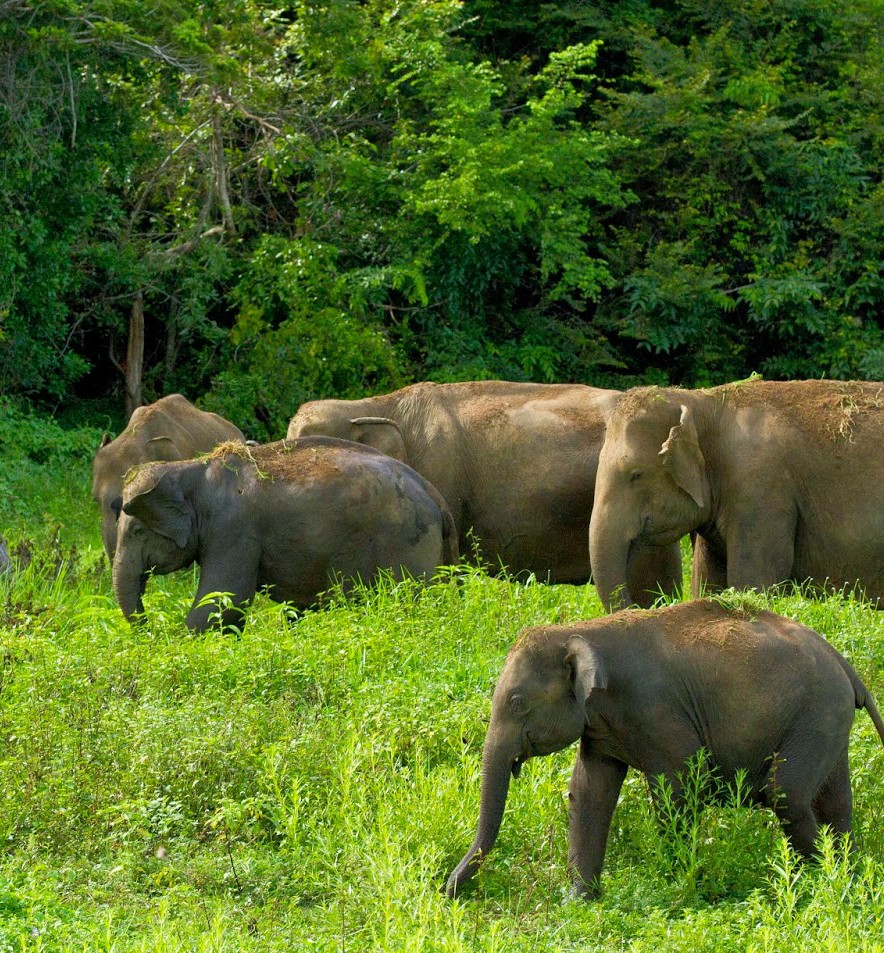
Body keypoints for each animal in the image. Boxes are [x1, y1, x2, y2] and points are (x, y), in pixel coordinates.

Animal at [112, 434, 456, 628]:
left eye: (138, 531)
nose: (152, 630)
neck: (191, 468)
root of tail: (438, 500)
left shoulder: (233, 530)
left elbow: (225, 601)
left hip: (407, 544)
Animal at [448, 604, 884, 900]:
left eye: (517, 702)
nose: (447, 889)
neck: (578, 631)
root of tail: (843, 662)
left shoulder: (658, 711)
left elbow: (677, 788)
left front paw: (681, 887)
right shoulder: (598, 726)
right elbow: (590, 793)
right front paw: (580, 901)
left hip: (816, 712)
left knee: (785, 793)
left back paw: (820, 880)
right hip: (828, 720)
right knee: (834, 799)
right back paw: (847, 873)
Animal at [588, 376, 884, 608]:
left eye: (636, 474)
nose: (642, 604)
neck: (703, 403)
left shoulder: (762, 492)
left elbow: (753, 583)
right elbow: (708, 584)